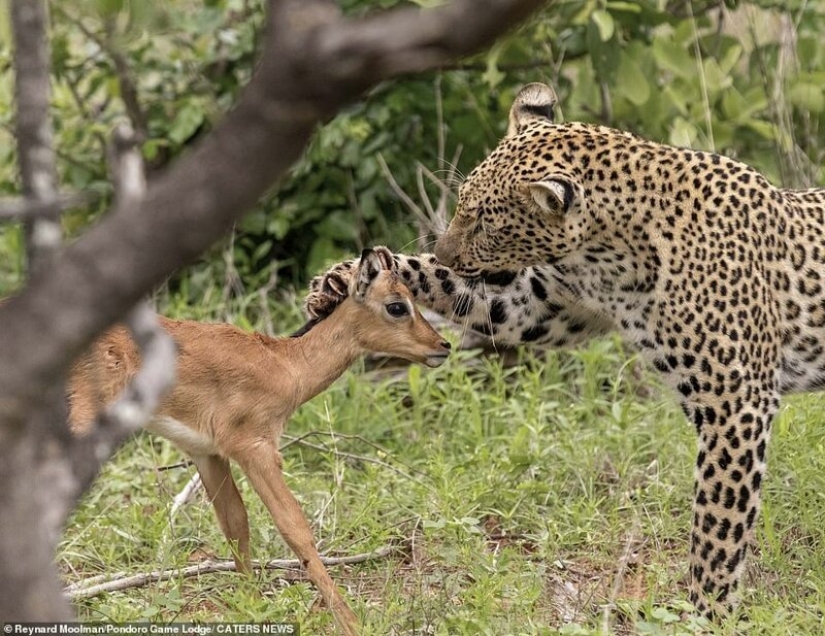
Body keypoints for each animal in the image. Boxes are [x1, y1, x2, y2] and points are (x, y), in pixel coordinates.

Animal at [68, 249, 451, 636]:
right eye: (397, 305)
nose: (443, 346)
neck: (285, 365)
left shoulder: (207, 453)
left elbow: (236, 523)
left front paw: (250, 605)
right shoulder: (255, 447)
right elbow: (294, 527)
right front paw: (351, 622)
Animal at [304, 82, 825, 619]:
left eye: (487, 221)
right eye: (462, 205)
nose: (448, 250)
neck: (608, 255)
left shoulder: (734, 402)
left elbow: (718, 523)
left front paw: (708, 613)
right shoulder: (537, 305)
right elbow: (442, 280)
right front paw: (341, 279)